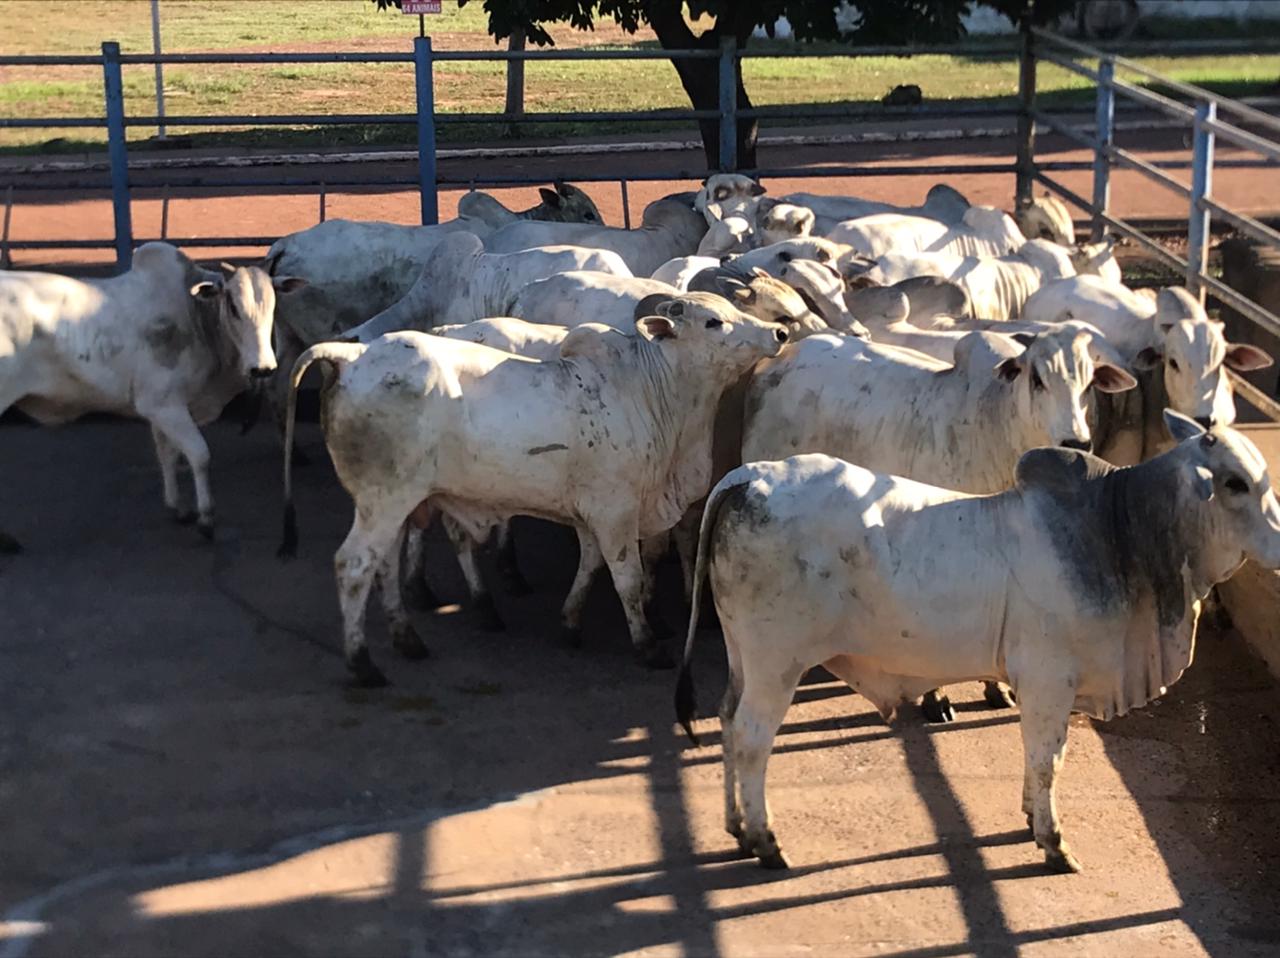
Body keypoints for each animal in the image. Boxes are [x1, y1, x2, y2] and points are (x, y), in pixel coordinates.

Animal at [0, 240, 302, 537]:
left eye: (273, 305)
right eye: (233, 307)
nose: (262, 368)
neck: (195, 316)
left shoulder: (162, 410)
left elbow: (167, 454)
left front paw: (178, 507)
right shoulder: (164, 405)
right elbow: (199, 455)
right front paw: (206, 516)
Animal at [277, 292, 788, 681]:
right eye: (713, 321)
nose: (779, 333)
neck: (651, 393)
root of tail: (352, 357)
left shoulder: (594, 513)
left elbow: (590, 565)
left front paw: (571, 622)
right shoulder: (615, 511)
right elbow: (626, 576)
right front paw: (646, 643)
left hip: (402, 503)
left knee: (386, 564)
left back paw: (411, 637)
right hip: (383, 500)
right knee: (354, 565)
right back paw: (363, 663)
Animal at [675, 409, 1280, 865]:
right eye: (1234, 483)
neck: (1117, 530)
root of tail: (750, 477)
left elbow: (1039, 758)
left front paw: (1031, 818)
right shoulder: (1048, 680)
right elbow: (1048, 759)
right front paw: (1052, 843)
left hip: (744, 659)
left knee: (726, 719)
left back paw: (736, 828)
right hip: (777, 664)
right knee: (751, 738)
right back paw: (765, 842)